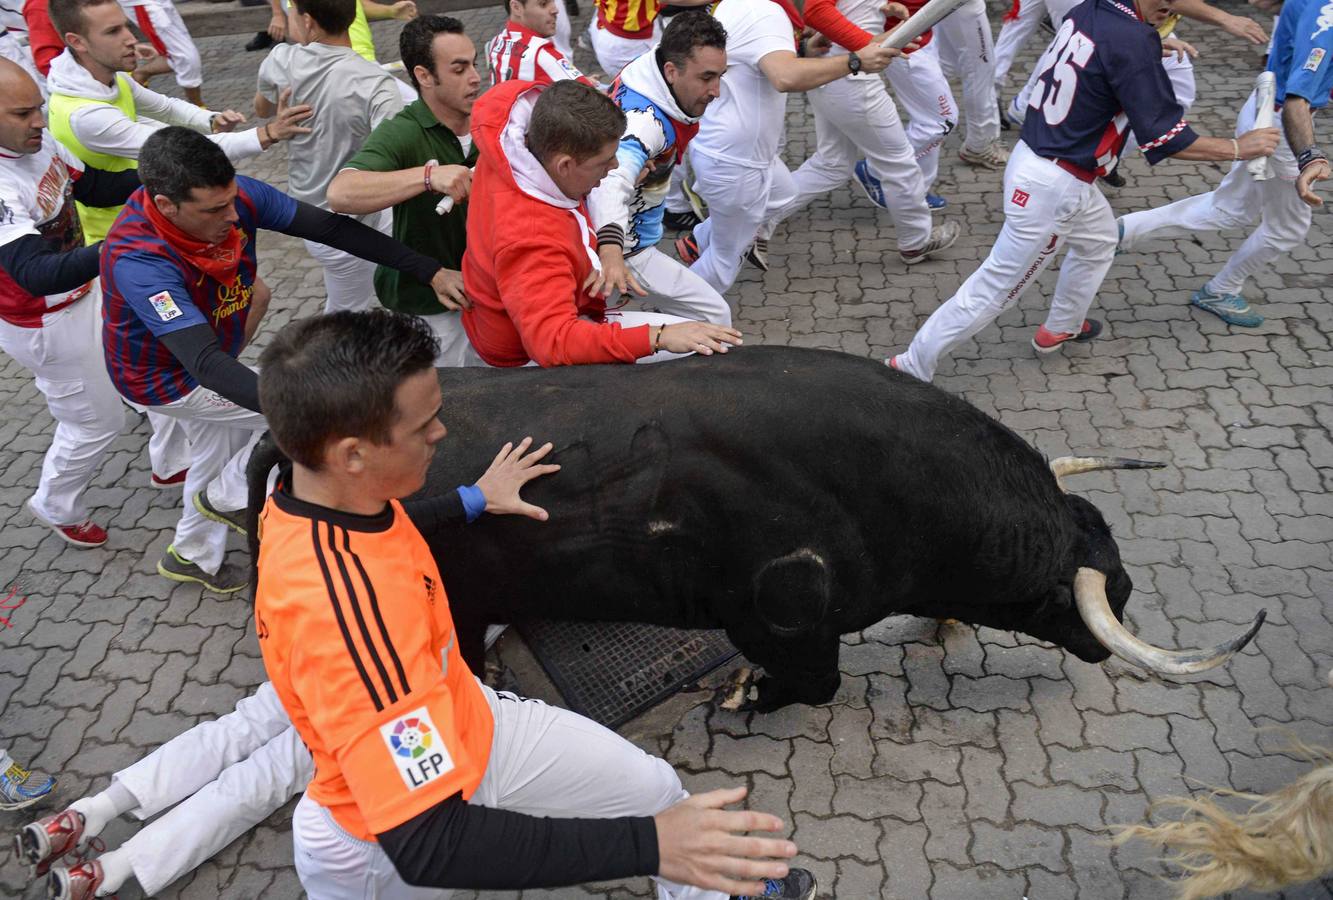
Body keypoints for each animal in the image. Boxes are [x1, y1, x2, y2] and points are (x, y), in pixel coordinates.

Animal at [247, 344, 1258, 709]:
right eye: (1078, 593)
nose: (1101, 645)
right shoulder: (777, 611)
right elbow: (815, 686)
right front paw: (744, 695)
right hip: (452, 601)